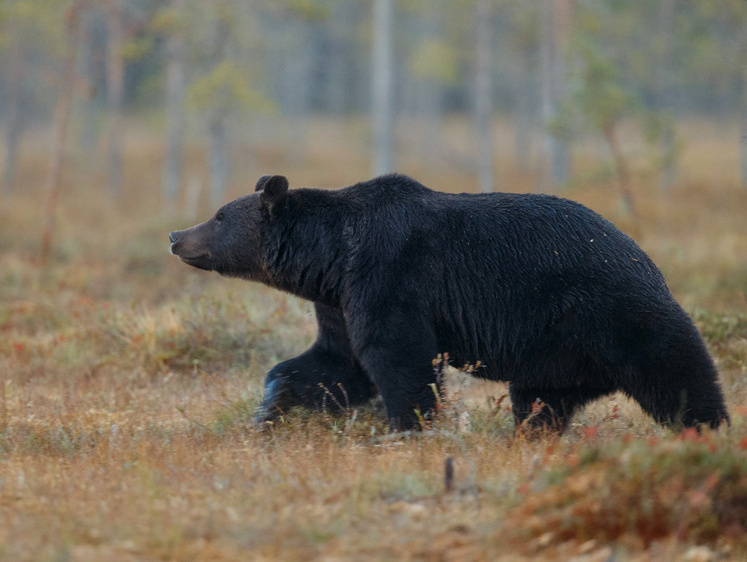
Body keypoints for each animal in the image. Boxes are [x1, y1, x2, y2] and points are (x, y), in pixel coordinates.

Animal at [171, 173, 732, 430]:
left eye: (219, 215)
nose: (176, 234)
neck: (331, 256)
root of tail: (647, 259)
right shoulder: (339, 300)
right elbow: (335, 363)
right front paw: (269, 407)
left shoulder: (390, 274)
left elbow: (398, 358)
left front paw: (407, 428)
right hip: (554, 354)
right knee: (540, 403)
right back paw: (530, 436)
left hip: (612, 310)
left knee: (677, 371)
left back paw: (710, 429)